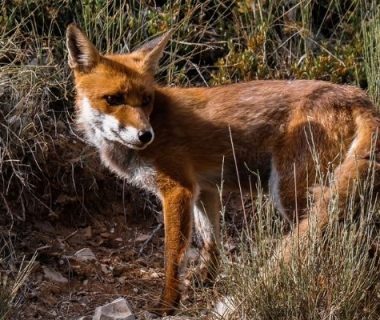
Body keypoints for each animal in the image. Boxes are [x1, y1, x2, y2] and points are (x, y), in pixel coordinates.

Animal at [67, 23, 380, 316]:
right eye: (113, 99)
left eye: (146, 100)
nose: (146, 135)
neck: (157, 120)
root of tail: (357, 95)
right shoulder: (204, 190)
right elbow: (211, 243)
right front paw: (207, 281)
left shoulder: (177, 189)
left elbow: (173, 256)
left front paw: (168, 304)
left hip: (291, 193)